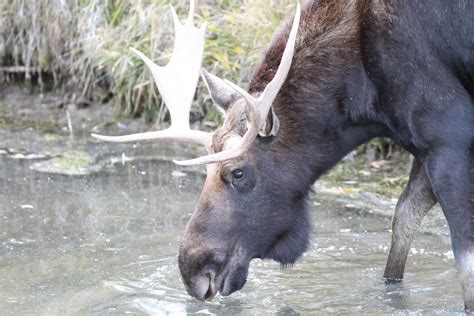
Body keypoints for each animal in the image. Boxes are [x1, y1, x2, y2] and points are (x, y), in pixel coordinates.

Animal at [93, 0, 474, 312]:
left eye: (238, 172)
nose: (193, 271)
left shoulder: (449, 137)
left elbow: (464, 261)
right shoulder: (424, 144)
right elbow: (403, 223)